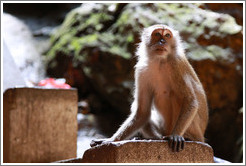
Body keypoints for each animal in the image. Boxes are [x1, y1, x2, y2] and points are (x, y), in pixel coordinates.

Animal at [90, 24, 208, 152]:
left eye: (167, 35)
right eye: (157, 34)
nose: (162, 41)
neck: (160, 62)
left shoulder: (177, 63)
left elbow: (190, 101)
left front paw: (176, 135)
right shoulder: (141, 70)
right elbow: (142, 112)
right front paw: (111, 139)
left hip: (194, 131)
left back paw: (186, 137)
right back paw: (155, 138)